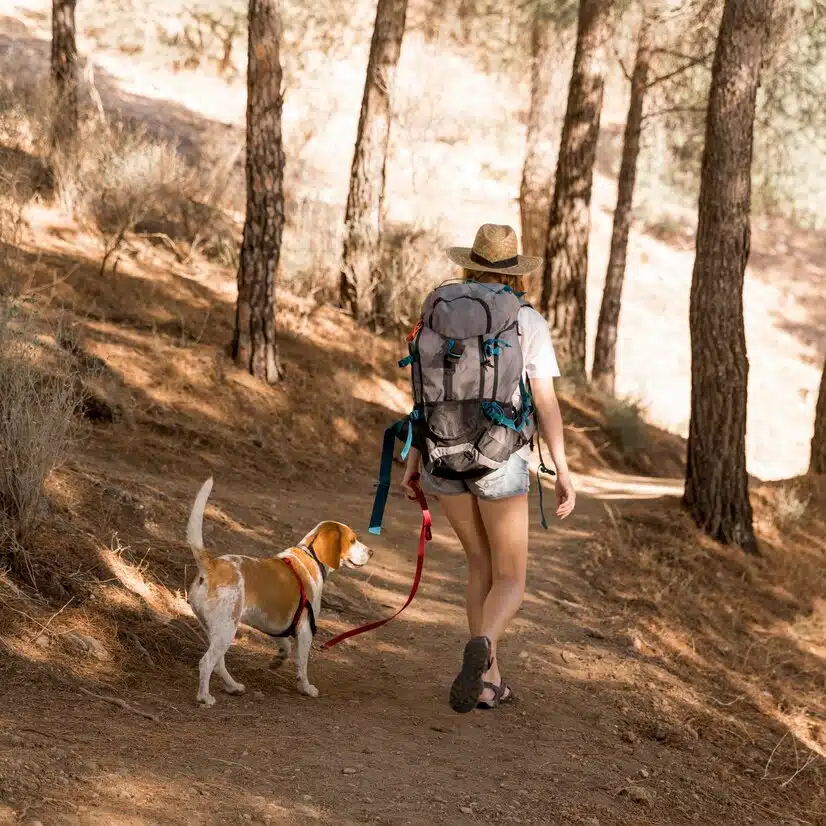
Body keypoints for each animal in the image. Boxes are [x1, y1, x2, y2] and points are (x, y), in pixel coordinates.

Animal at [185, 476, 372, 700]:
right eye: (352, 540)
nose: (371, 552)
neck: (310, 555)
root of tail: (211, 565)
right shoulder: (305, 629)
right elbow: (302, 664)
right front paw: (306, 687)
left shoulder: (276, 625)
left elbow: (286, 646)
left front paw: (278, 660)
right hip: (226, 630)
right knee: (206, 663)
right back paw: (205, 697)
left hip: (216, 631)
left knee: (218, 663)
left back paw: (233, 686)